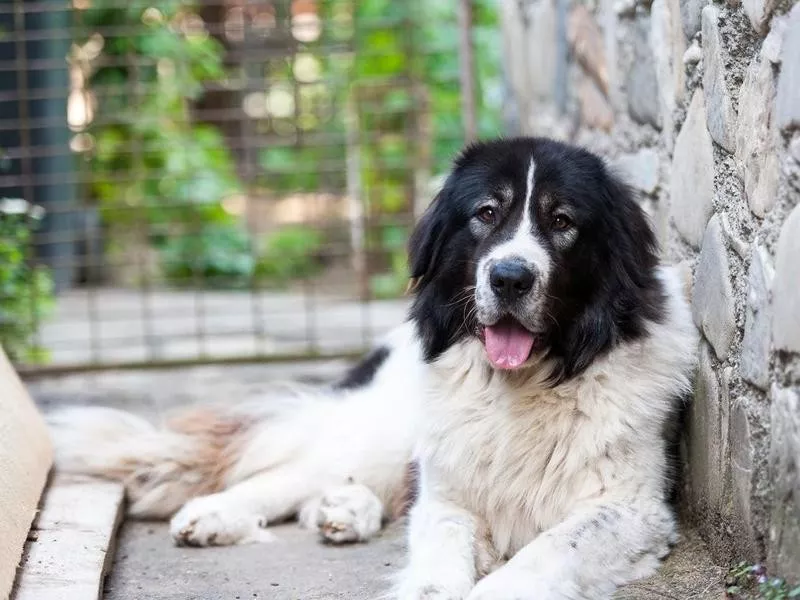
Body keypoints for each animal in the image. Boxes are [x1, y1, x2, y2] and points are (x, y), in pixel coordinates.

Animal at [48, 137, 700, 600]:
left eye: (562, 221)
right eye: (486, 214)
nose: (510, 277)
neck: (527, 386)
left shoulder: (629, 511)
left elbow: (547, 552)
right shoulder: (450, 496)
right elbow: (438, 553)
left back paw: (342, 512)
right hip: (391, 424)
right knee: (296, 472)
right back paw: (218, 513)